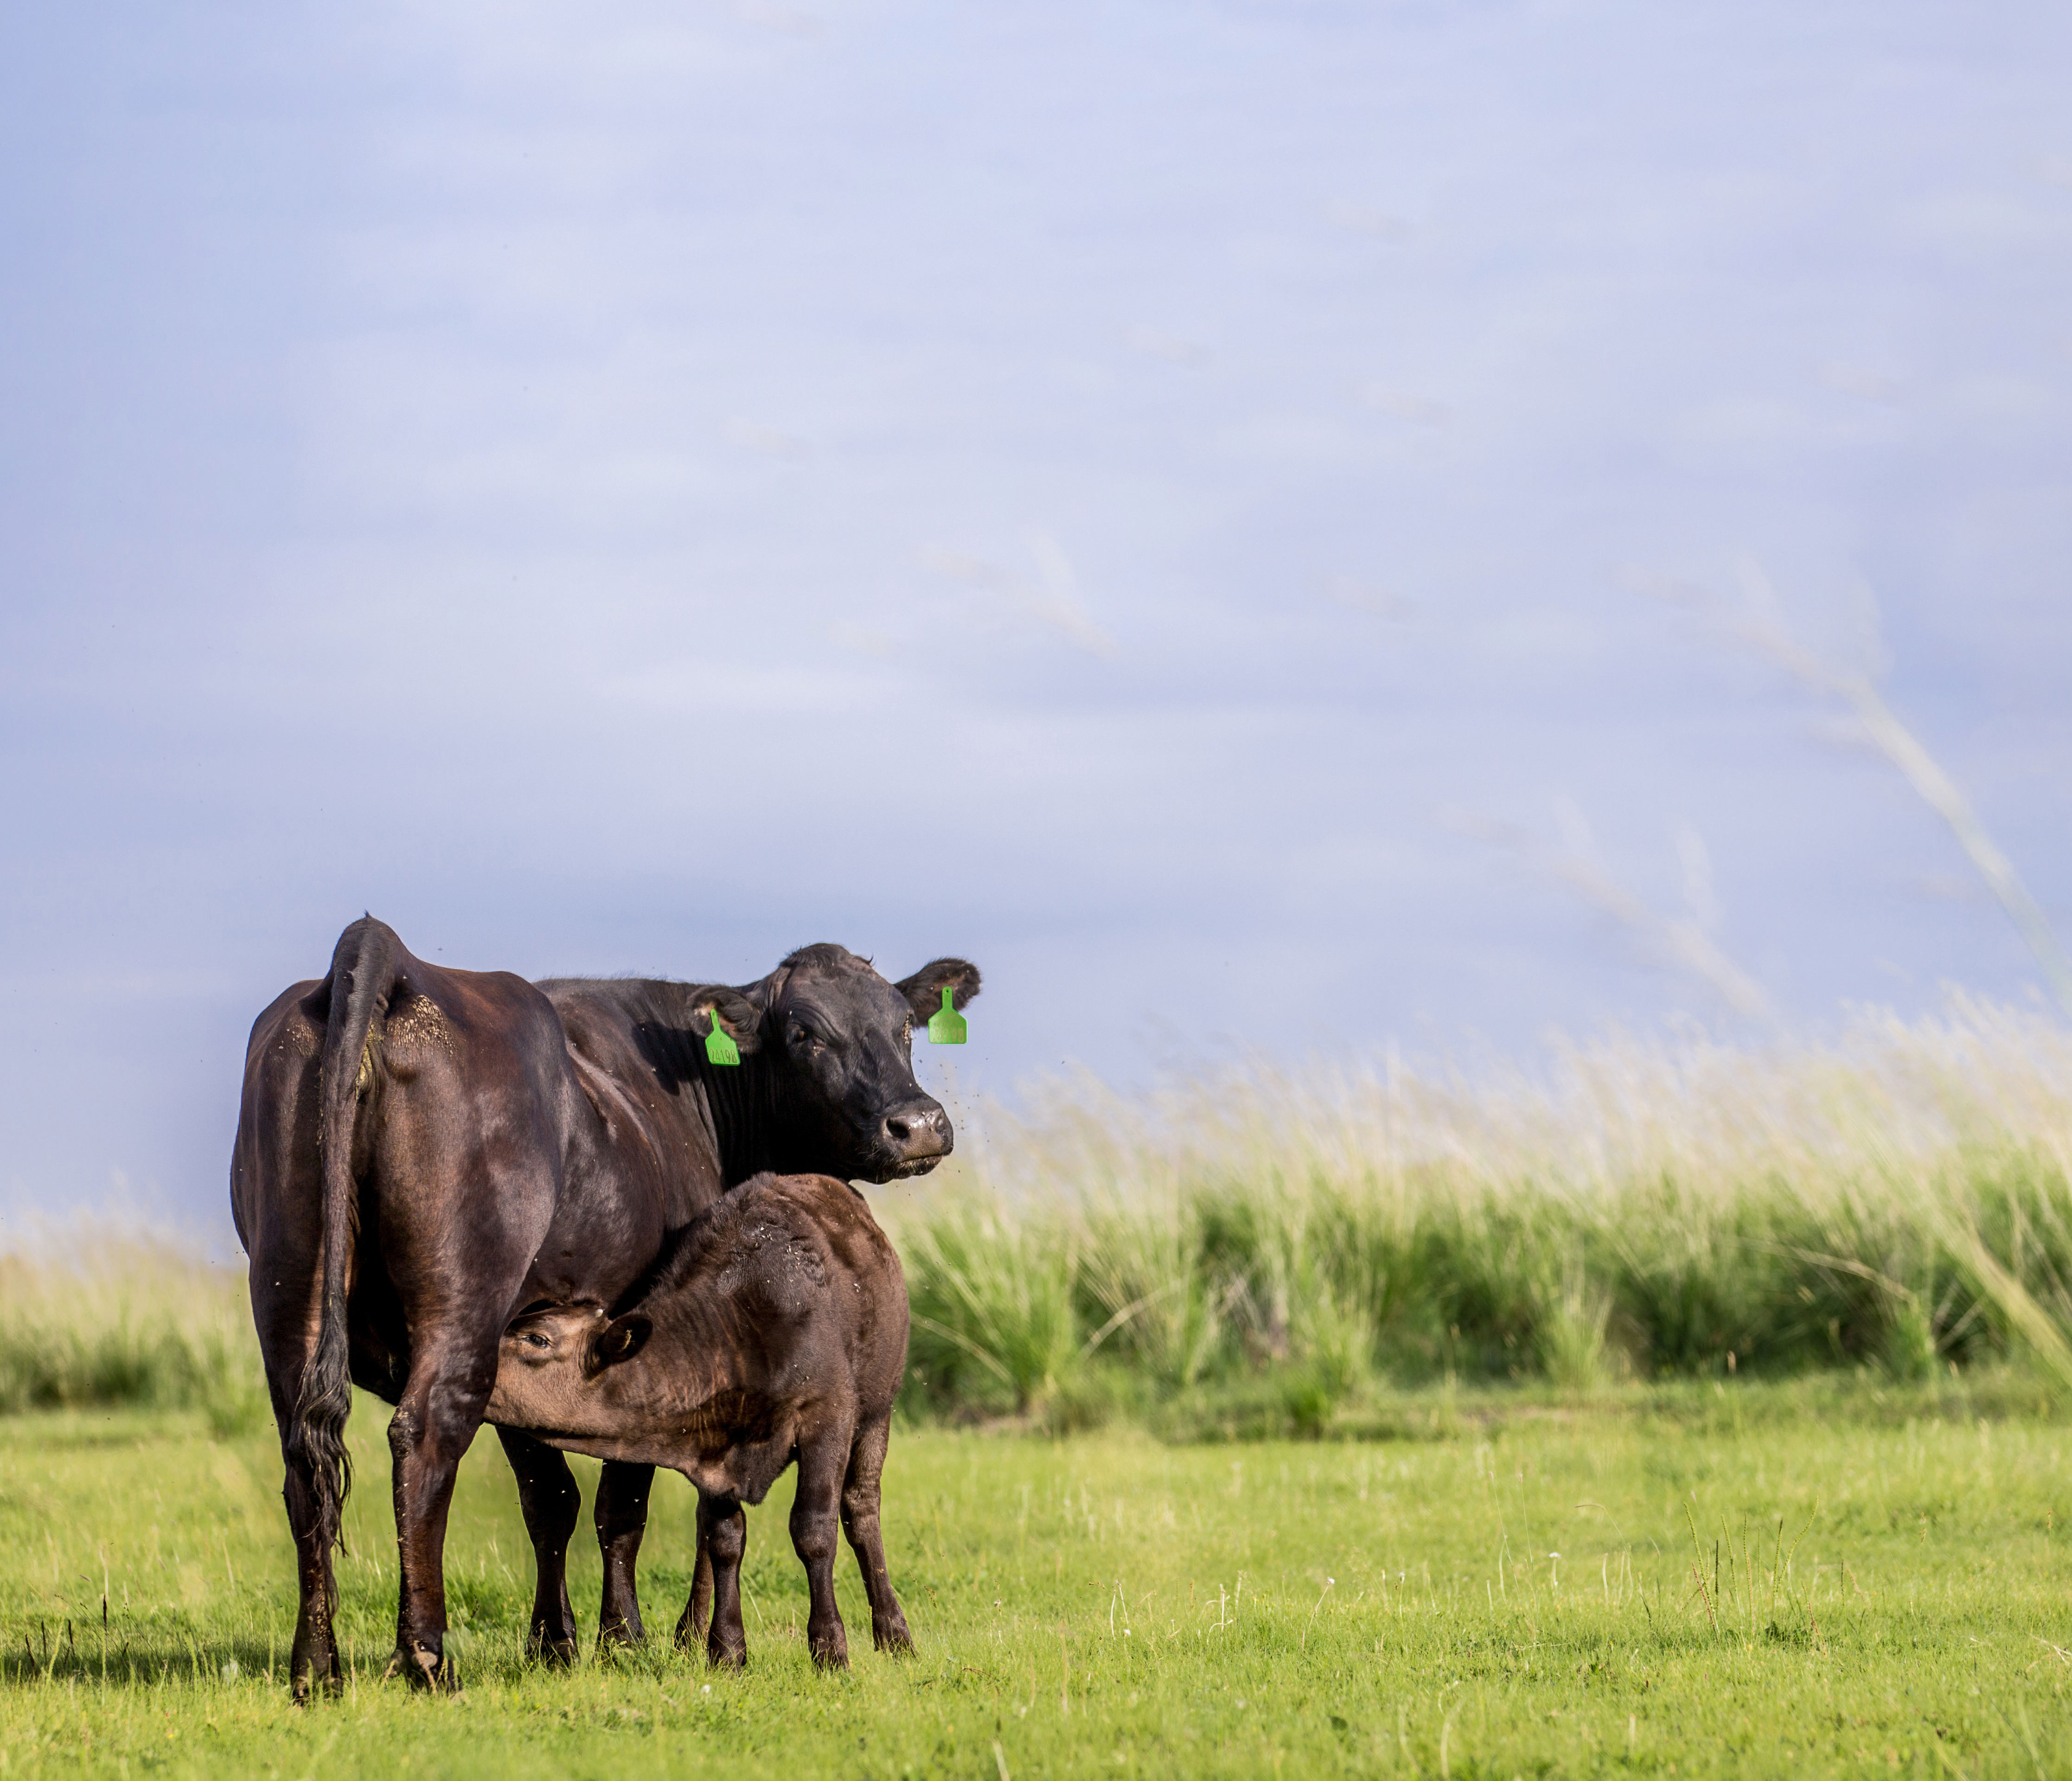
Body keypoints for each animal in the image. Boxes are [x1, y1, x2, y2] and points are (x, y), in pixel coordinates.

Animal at [231, 920, 973, 1700]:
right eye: (804, 1033)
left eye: (906, 1024)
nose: (918, 1124)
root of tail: (390, 957)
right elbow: (623, 1502)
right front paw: (628, 1637)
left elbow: (551, 1500)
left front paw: (556, 1640)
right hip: (462, 1302)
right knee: (426, 1437)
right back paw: (427, 1657)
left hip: (291, 1293)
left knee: (305, 1459)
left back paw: (317, 1664)